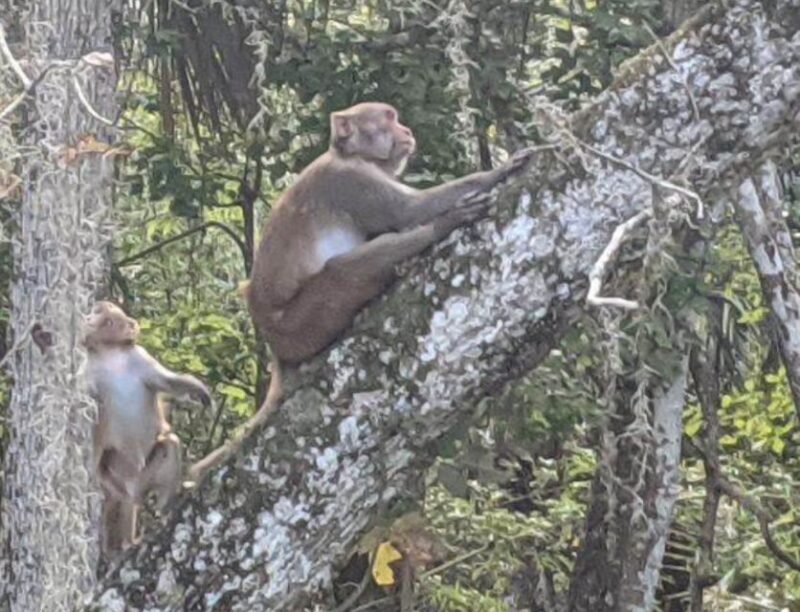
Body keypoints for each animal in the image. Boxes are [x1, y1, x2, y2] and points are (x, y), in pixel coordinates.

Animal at [83, 301, 211, 555]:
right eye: (97, 312)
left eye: (106, 317)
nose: (90, 316)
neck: (110, 356)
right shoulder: (88, 376)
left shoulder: (140, 357)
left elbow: (167, 382)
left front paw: (199, 390)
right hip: (117, 480)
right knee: (119, 500)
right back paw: (121, 547)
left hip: (144, 479)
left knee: (169, 445)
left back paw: (164, 511)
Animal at [187, 102, 536, 482]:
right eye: (388, 118)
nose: (407, 131)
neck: (351, 155)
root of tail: (274, 345)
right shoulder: (350, 182)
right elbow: (408, 211)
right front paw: (496, 172)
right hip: (301, 322)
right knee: (341, 270)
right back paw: (435, 230)